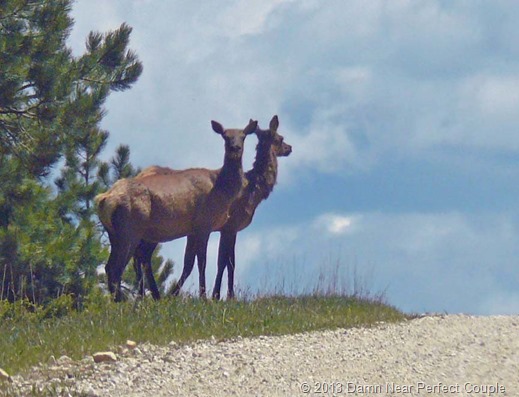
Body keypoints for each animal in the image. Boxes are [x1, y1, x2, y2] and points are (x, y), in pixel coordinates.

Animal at [94, 118, 256, 300]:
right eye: (225, 136)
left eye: (243, 136)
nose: (235, 148)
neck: (221, 189)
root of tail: (104, 199)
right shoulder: (204, 224)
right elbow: (202, 262)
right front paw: (204, 297)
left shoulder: (193, 230)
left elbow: (191, 262)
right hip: (130, 230)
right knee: (118, 267)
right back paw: (124, 300)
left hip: (115, 233)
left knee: (112, 266)